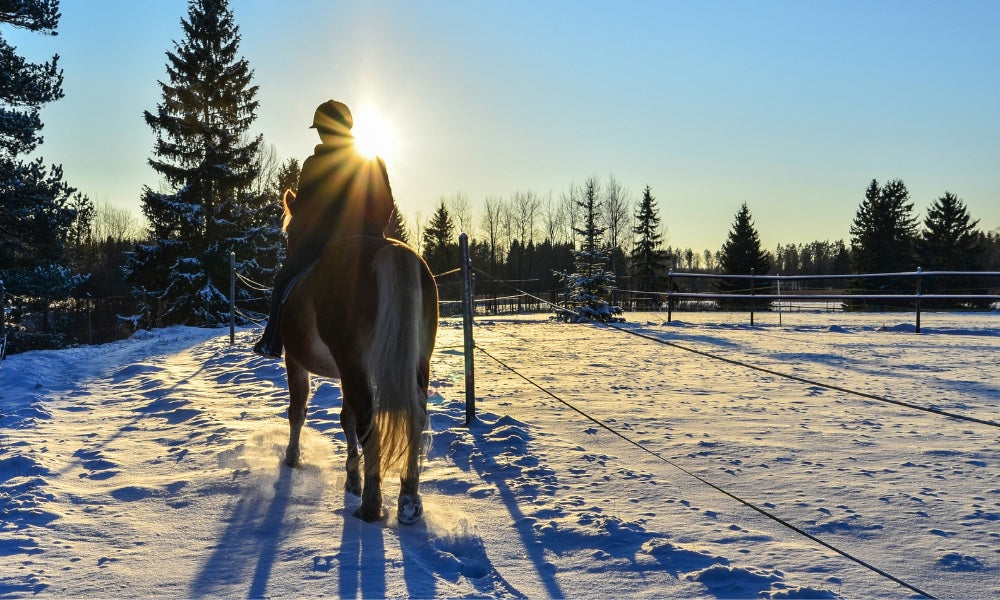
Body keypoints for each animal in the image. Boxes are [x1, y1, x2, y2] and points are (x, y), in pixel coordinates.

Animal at [280, 190, 440, 524]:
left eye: (289, 232)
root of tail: (390, 251)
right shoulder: (345, 371)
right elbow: (346, 418)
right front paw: (351, 479)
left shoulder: (297, 362)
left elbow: (298, 411)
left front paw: (292, 458)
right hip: (418, 362)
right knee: (414, 419)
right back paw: (408, 499)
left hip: (353, 363)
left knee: (370, 424)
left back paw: (371, 505)